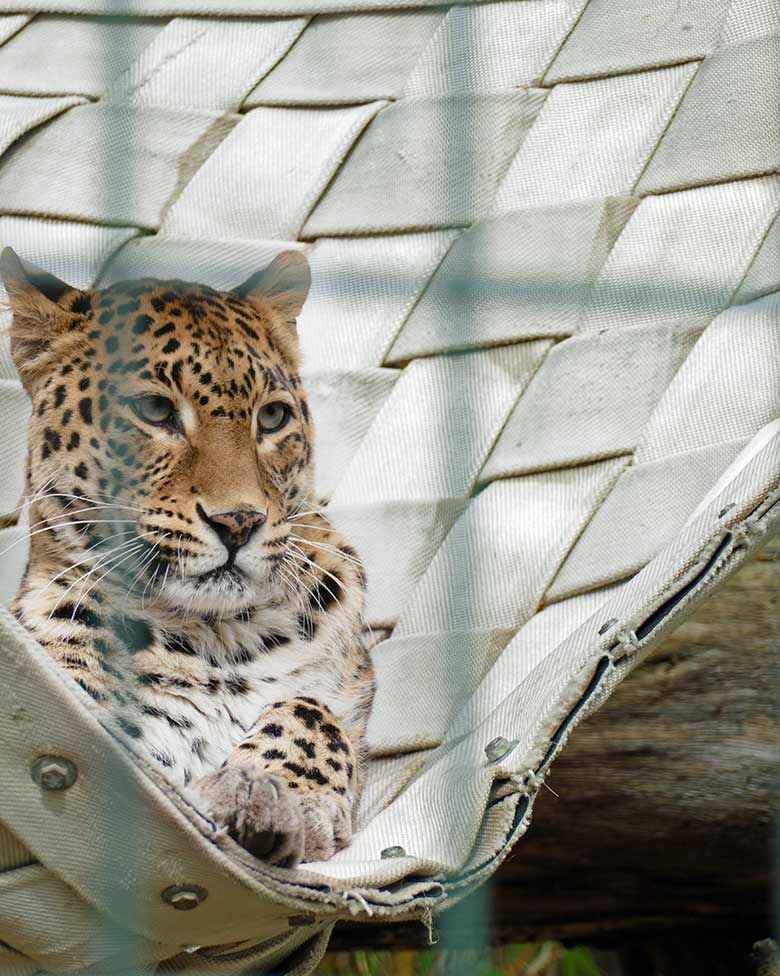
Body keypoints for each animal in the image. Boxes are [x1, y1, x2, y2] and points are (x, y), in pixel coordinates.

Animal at [2, 246, 374, 868]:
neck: (217, 640)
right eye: (154, 410)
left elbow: (312, 710)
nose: (239, 522)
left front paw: (278, 794)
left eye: (271, 418)